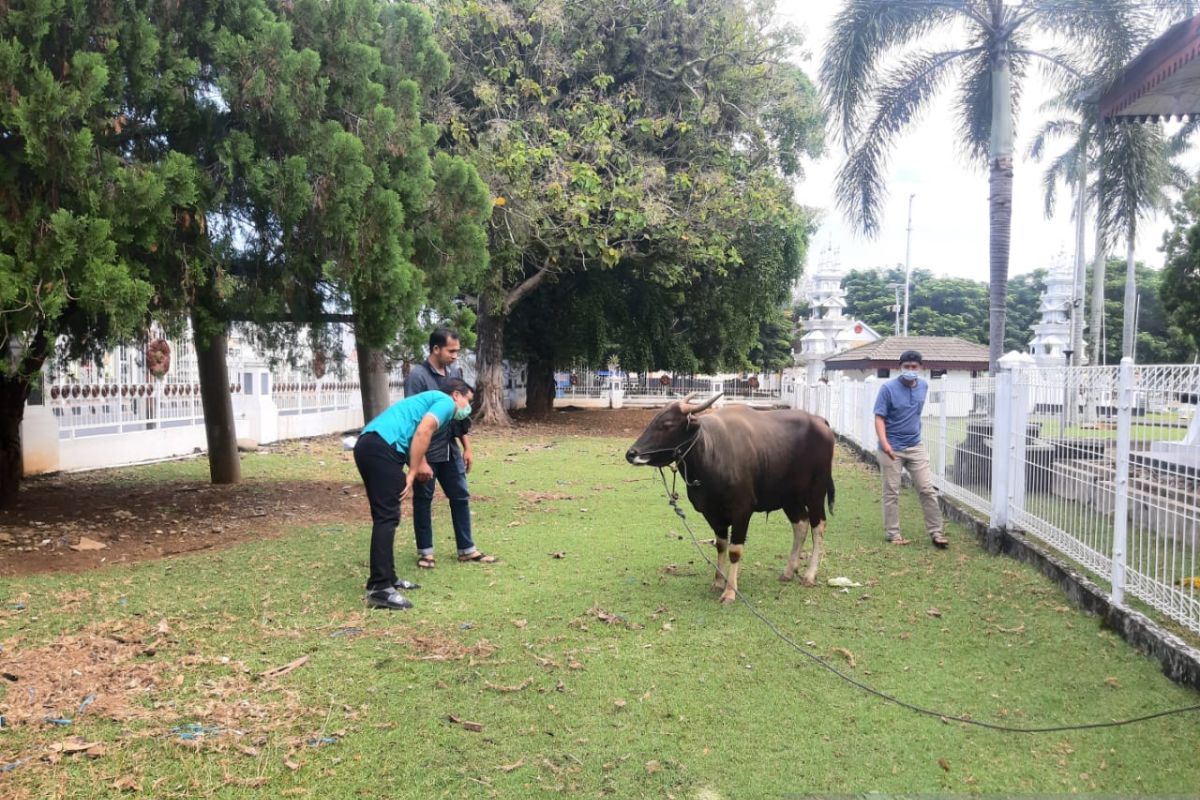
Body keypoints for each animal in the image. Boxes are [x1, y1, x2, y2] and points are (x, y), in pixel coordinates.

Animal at [628, 391, 835, 604]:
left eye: (667, 425)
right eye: (653, 420)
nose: (631, 454)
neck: (711, 454)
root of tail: (820, 422)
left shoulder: (742, 511)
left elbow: (735, 551)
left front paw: (730, 591)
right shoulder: (712, 513)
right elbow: (721, 546)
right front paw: (718, 582)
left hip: (816, 492)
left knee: (818, 526)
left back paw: (810, 575)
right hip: (790, 498)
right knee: (800, 525)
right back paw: (788, 571)